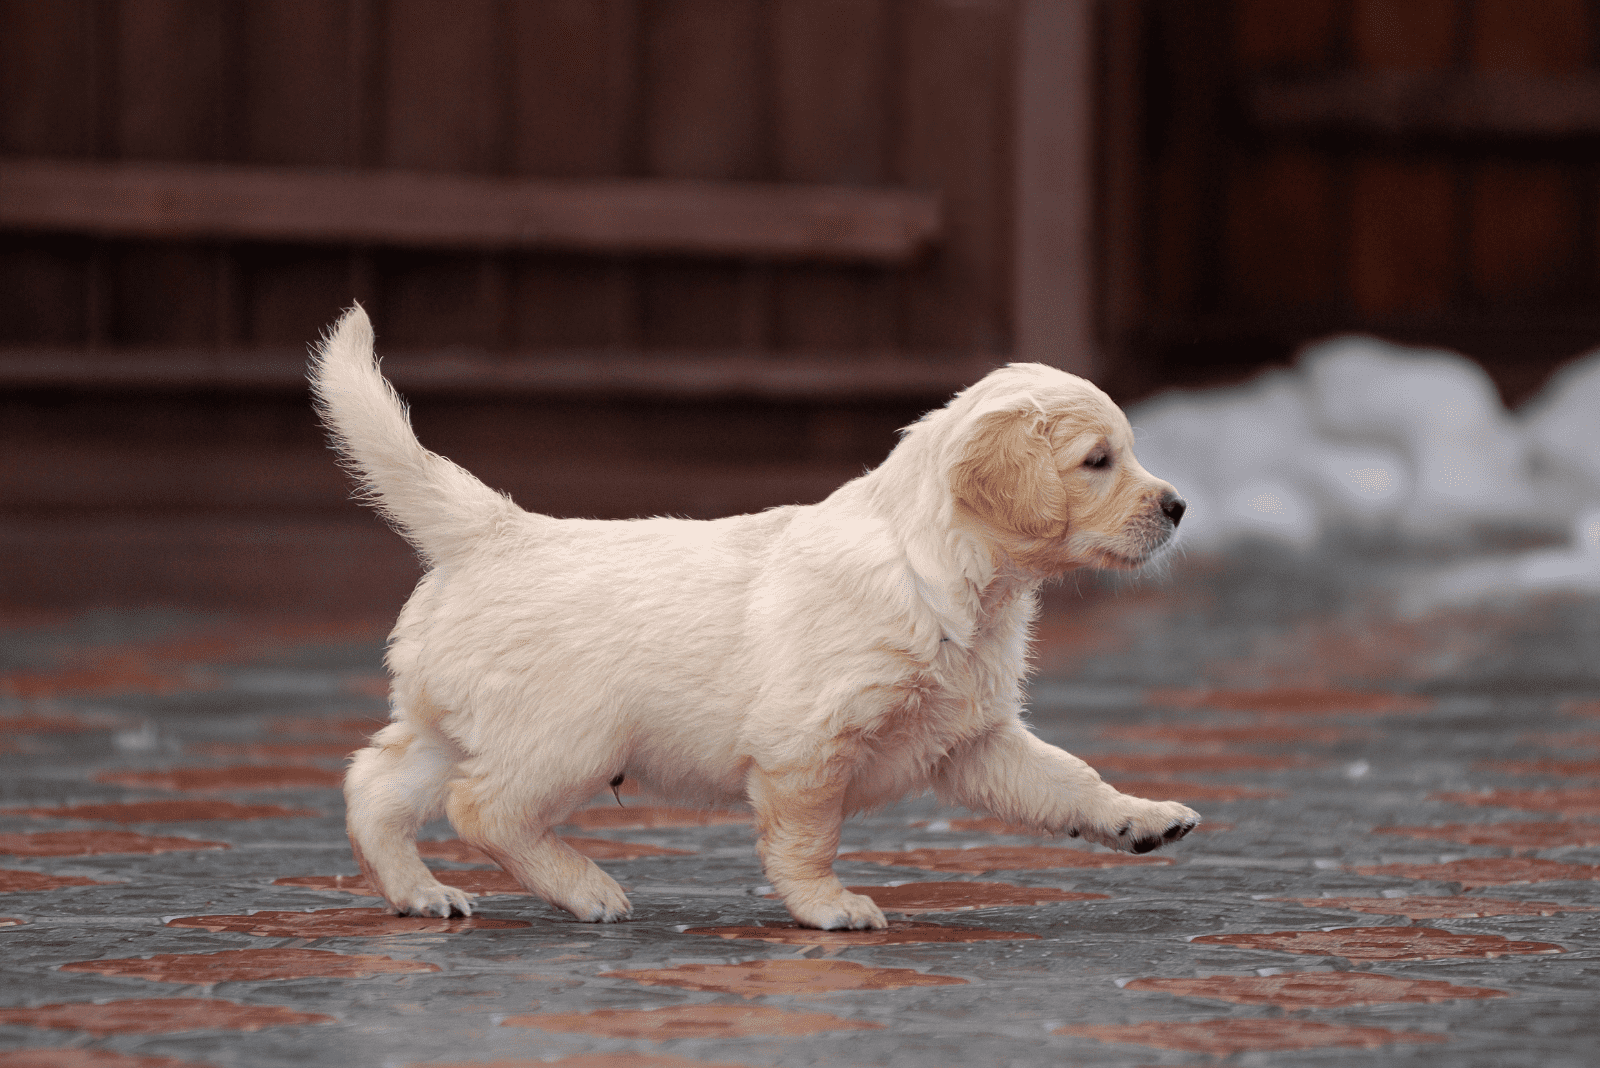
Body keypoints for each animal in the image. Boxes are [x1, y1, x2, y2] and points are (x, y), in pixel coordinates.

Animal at [312, 302, 1196, 927]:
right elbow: (809, 837)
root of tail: (495, 530)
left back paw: (419, 893)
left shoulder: (972, 739)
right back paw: (586, 889)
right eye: (1097, 461)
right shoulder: (808, 744)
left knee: (375, 785)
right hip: (570, 737)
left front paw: (1139, 819)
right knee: (482, 808)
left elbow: (1069, 779)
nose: (1180, 506)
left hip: (451, 722)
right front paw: (828, 907)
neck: (940, 573)